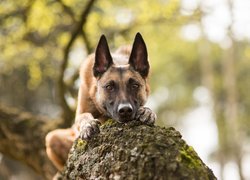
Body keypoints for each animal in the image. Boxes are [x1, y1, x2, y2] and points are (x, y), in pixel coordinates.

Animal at [45, 32, 156, 172]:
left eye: (135, 85)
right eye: (109, 87)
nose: (125, 110)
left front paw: (147, 112)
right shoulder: (79, 117)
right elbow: (83, 116)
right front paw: (88, 124)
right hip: (51, 138)